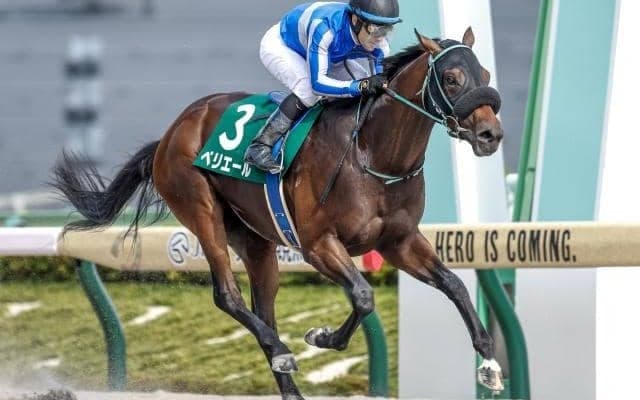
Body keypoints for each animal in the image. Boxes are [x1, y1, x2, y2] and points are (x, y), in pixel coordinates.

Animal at [52, 28, 504, 399]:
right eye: (452, 78)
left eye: (484, 73)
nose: (491, 135)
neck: (373, 154)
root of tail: (170, 133)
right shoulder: (318, 245)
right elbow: (363, 296)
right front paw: (322, 337)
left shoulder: (400, 242)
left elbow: (454, 286)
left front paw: (489, 365)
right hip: (201, 210)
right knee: (228, 295)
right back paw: (282, 352)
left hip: (256, 241)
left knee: (262, 306)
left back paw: (286, 376)